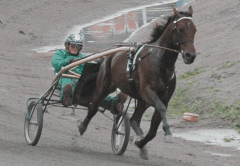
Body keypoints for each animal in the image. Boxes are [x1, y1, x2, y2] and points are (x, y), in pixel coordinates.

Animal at [78, 6, 197, 159]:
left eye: (194, 29)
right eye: (181, 29)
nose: (190, 55)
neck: (161, 62)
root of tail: (112, 53)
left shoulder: (164, 98)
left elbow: (153, 129)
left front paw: (141, 143)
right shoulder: (148, 92)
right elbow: (161, 109)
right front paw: (168, 133)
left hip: (141, 99)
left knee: (134, 119)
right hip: (105, 85)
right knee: (93, 106)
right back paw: (82, 126)